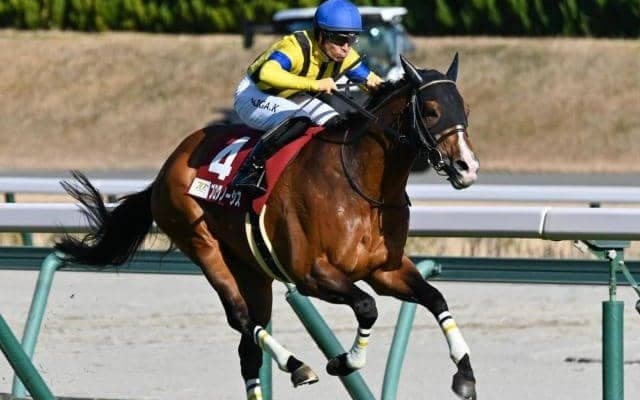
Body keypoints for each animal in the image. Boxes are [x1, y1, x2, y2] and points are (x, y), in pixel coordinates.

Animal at [55, 54, 480, 399]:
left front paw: (464, 375)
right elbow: (367, 307)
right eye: (430, 110)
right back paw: (297, 365)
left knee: (247, 347)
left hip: (253, 269)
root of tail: (166, 168)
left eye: (464, 108)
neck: (360, 182)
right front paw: (343, 361)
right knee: (242, 319)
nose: (468, 167)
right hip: (201, 243)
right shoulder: (311, 274)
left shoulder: (383, 270)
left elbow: (435, 298)